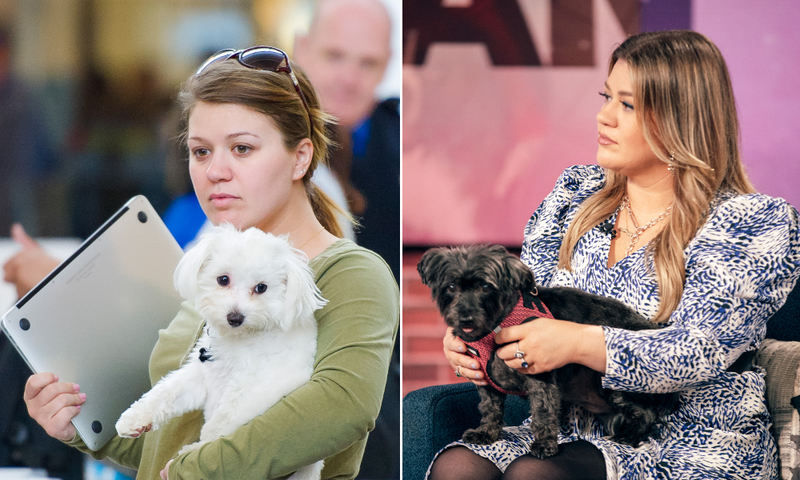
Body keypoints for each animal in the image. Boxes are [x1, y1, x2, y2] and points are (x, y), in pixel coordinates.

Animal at [115, 223, 324, 478]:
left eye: (261, 288)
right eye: (223, 279)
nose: (235, 317)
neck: (239, 340)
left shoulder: (256, 388)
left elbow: (220, 424)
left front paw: (194, 452)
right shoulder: (202, 376)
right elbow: (167, 392)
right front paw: (134, 419)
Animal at [416, 246, 680, 460]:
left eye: (485, 287)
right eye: (451, 287)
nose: (465, 319)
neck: (494, 327)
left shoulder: (540, 377)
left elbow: (542, 413)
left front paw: (544, 445)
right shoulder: (485, 381)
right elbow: (490, 409)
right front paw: (486, 433)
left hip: (620, 384)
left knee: (646, 414)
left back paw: (629, 436)